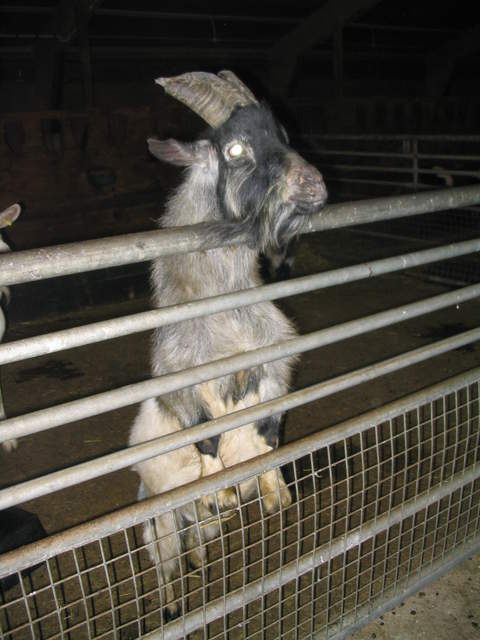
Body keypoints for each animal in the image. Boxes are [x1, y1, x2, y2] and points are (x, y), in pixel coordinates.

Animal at [129, 70, 327, 620]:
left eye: (283, 133)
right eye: (236, 149)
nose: (315, 185)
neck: (227, 315)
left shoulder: (276, 366)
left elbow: (267, 431)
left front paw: (273, 493)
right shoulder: (180, 382)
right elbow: (206, 435)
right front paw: (219, 491)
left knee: (198, 539)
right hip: (159, 519)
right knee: (167, 561)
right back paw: (173, 602)